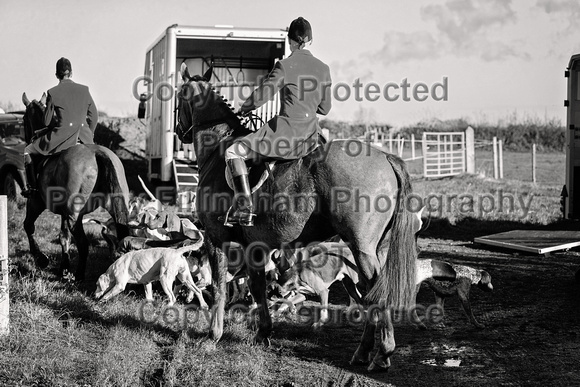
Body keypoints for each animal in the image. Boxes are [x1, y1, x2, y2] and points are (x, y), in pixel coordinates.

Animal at [21, 94, 130, 282]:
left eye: (23, 119)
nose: (29, 138)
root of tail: (97, 153)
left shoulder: (36, 203)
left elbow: (28, 226)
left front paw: (41, 259)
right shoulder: (63, 212)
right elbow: (64, 237)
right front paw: (63, 268)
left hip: (74, 215)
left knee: (83, 243)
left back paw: (79, 275)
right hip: (113, 205)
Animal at [177, 65, 444, 372]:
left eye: (177, 96)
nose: (179, 132)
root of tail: (386, 157)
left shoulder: (215, 238)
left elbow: (220, 287)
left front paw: (213, 335)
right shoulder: (256, 245)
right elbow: (257, 288)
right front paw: (263, 333)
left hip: (361, 247)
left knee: (376, 292)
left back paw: (381, 353)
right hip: (371, 248)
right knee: (370, 293)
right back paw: (366, 351)